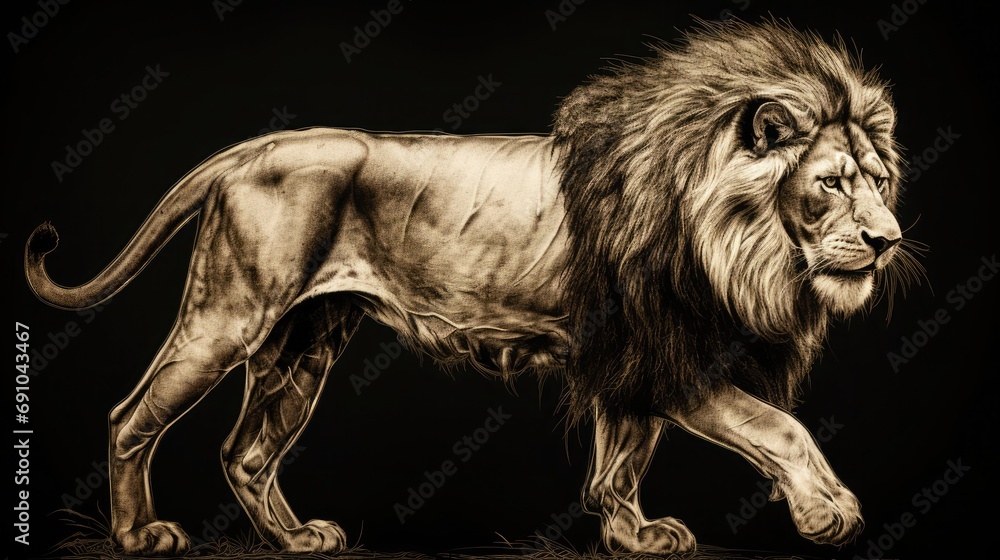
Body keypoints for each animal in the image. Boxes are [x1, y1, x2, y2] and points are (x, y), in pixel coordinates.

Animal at [24, 20, 912, 556]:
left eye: (878, 181)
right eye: (831, 183)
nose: (888, 241)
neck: (735, 239)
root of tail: (249, 150)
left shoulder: (629, 358)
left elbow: (619, 461)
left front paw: (634, 536)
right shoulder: (665, 354)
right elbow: (779, 427)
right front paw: (829, 511)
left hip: (304, 343)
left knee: (245, 451)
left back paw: (295, 539)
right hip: (231, 315)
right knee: (131, 417)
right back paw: (139, 537)